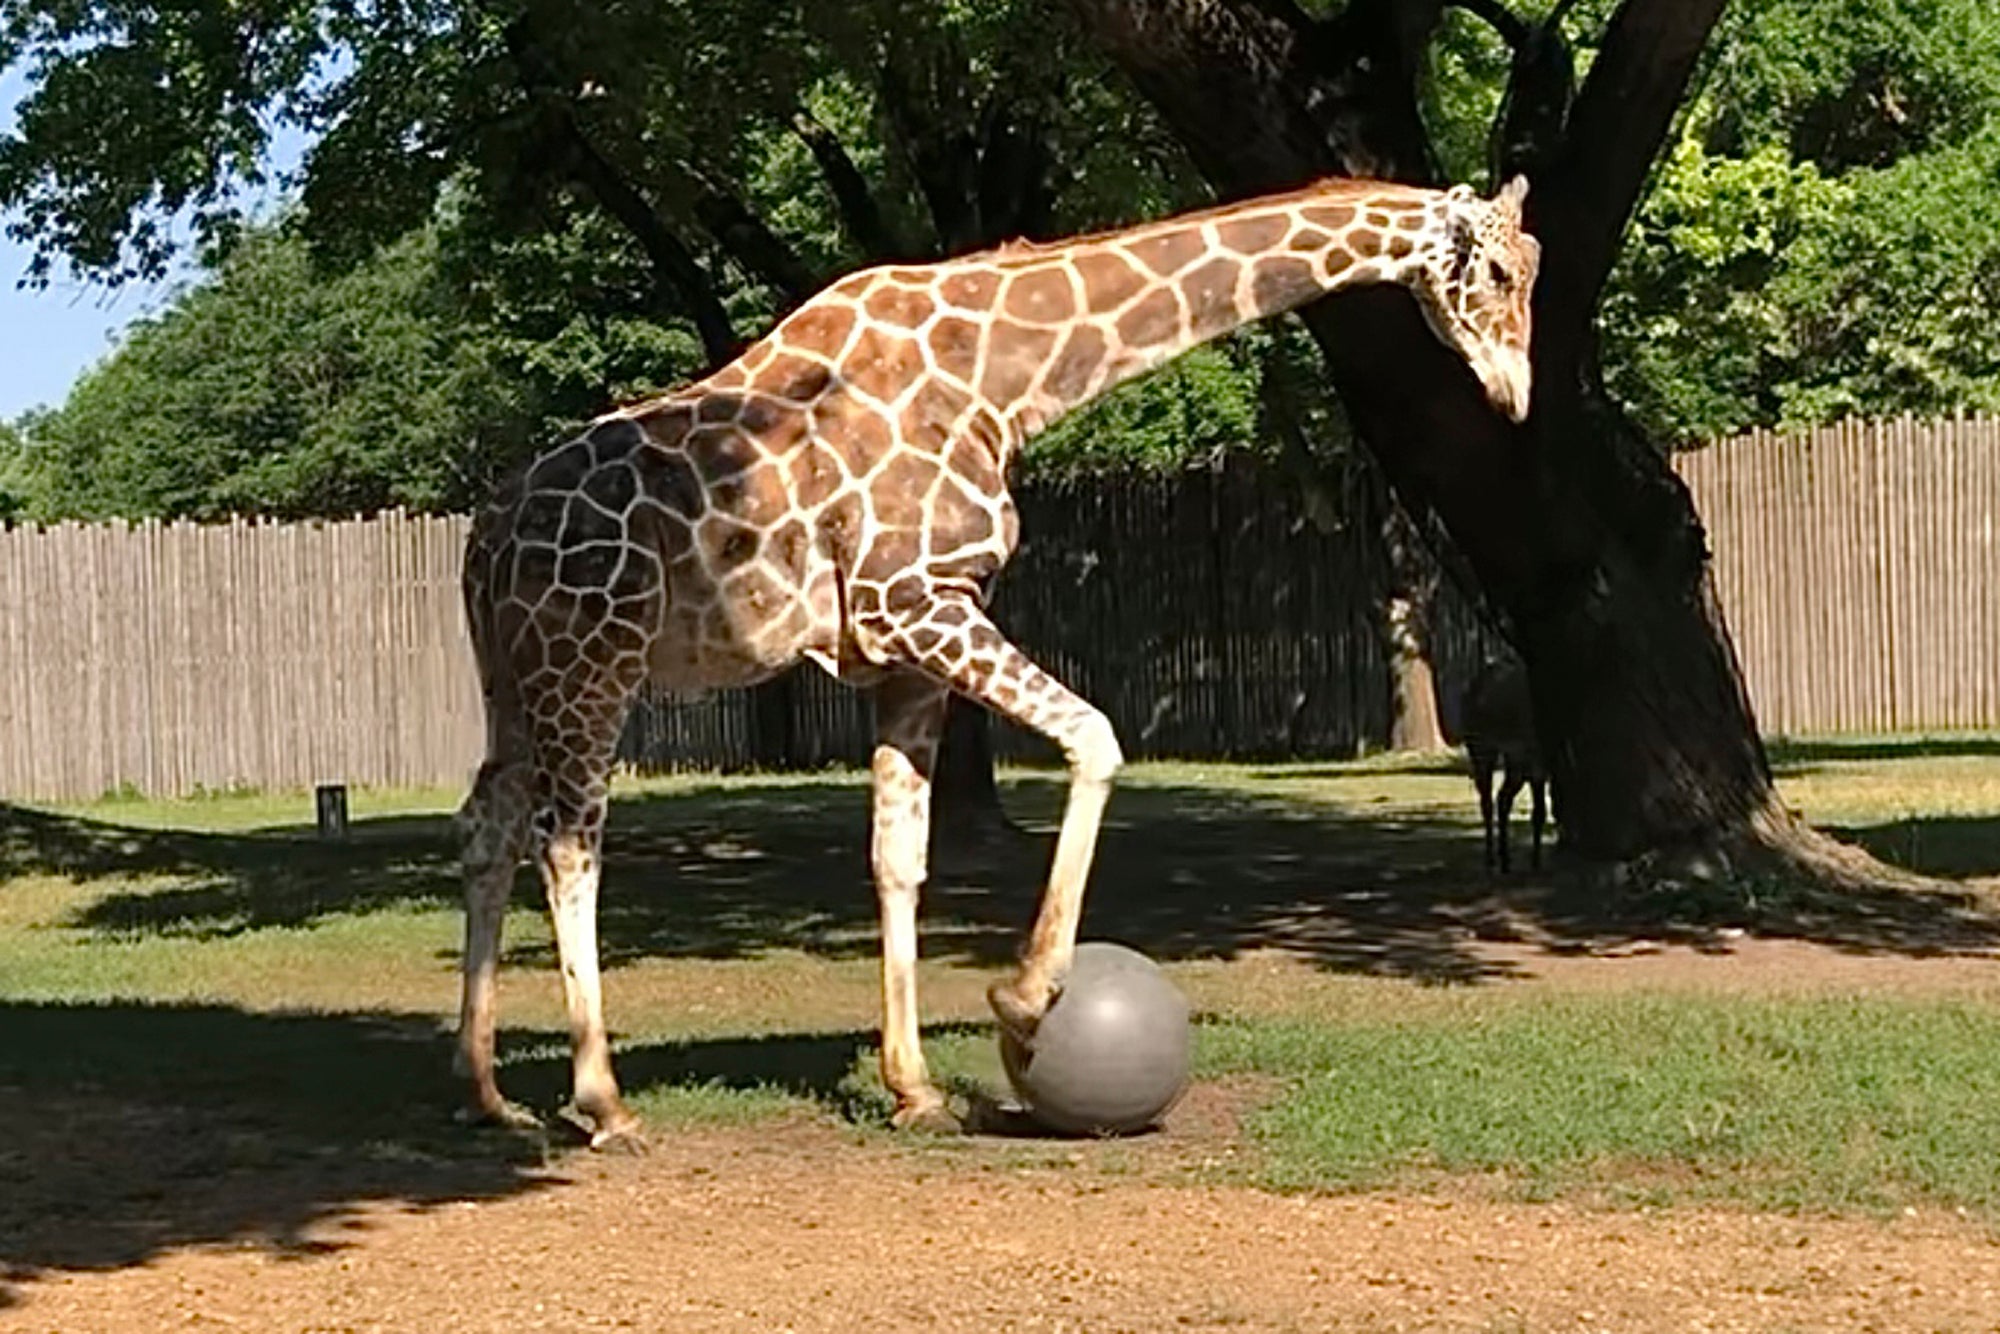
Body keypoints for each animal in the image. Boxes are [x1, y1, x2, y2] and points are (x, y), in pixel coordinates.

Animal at [456, 175, 1541, 1143]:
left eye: (1534, 265)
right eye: (1492, 269)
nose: (1515, 395)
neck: (1003, 378)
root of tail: (487, 538)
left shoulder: (904, 649)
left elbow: (898, 856)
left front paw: (914, 1088)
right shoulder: (917, 601)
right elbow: (1096, 737)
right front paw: (1026, 996)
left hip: (514, 682)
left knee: (488, 825)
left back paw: (489, 1094)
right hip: (592, 660)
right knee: (568, 842)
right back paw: (602, 1103)